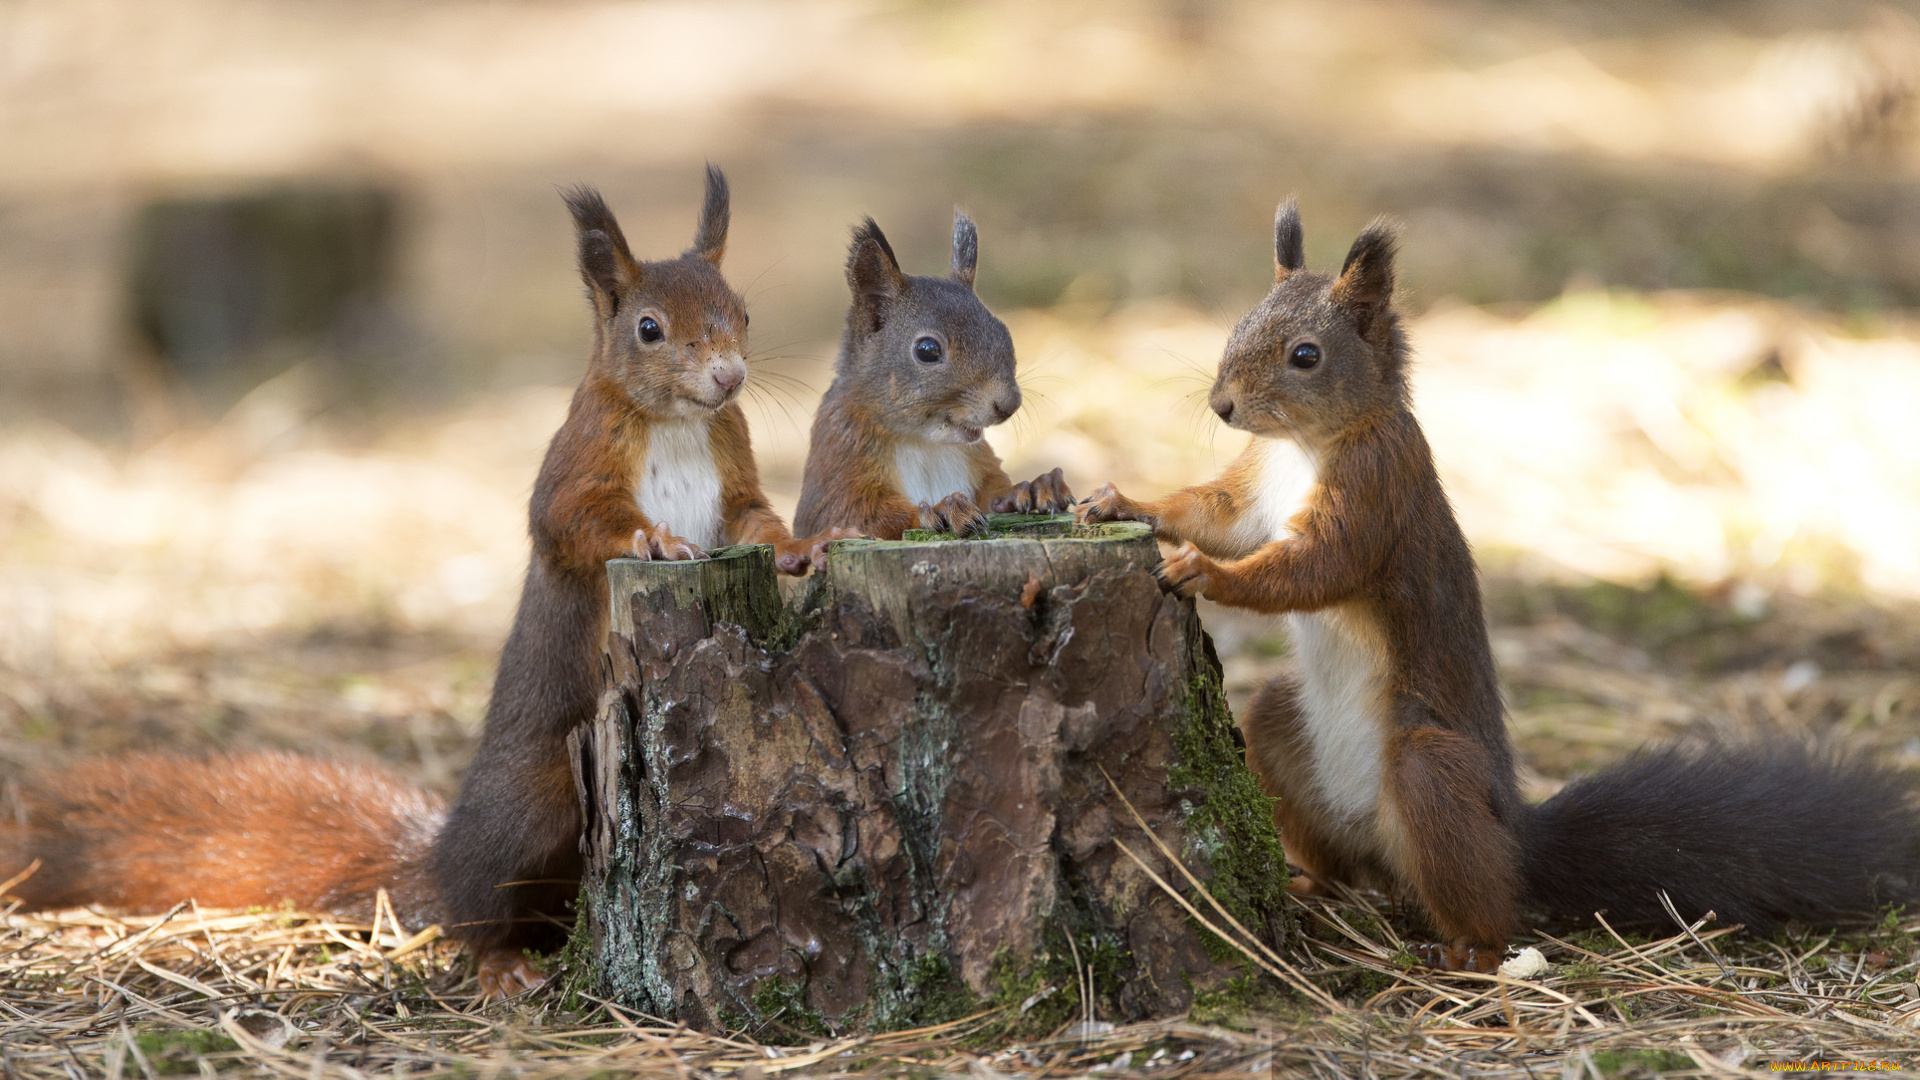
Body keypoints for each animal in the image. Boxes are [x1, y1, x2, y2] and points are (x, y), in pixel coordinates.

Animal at [3, 164, 848, 999]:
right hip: (531, 807)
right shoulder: (576, 468)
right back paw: (501, 964)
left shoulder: (732, 474)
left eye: (743, 312)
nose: (728, 376)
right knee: (475, 913)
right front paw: (658, 539)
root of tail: (437, 859)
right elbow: (573, 522)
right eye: (648, 328)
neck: (676, 422)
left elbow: (757, 524)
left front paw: (807, 546)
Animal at [787, 211, 1075, 538]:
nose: (1008, 404)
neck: (925, 443)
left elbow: (995, 495)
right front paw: (942, 510)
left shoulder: (979, 461)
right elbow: (851, 517)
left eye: (1003, 331)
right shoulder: (838, 456)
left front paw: (1034, 488)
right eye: (927, 350)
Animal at [1082, 199, 1920, 968]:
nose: (1222, 404)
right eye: (1238, 325)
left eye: (1306, 355)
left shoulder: (1377, 492)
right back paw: (1307, 886)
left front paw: (1203, 571)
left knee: (1488, 904)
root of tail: (1517, 838)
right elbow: (1213, 513)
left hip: (1431, 772)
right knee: (1340, 856)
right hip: (1284, 730)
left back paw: (1467, 952)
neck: (1304, 447)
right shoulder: (1253, 489)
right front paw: (1125, 504)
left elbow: (1313, 567)